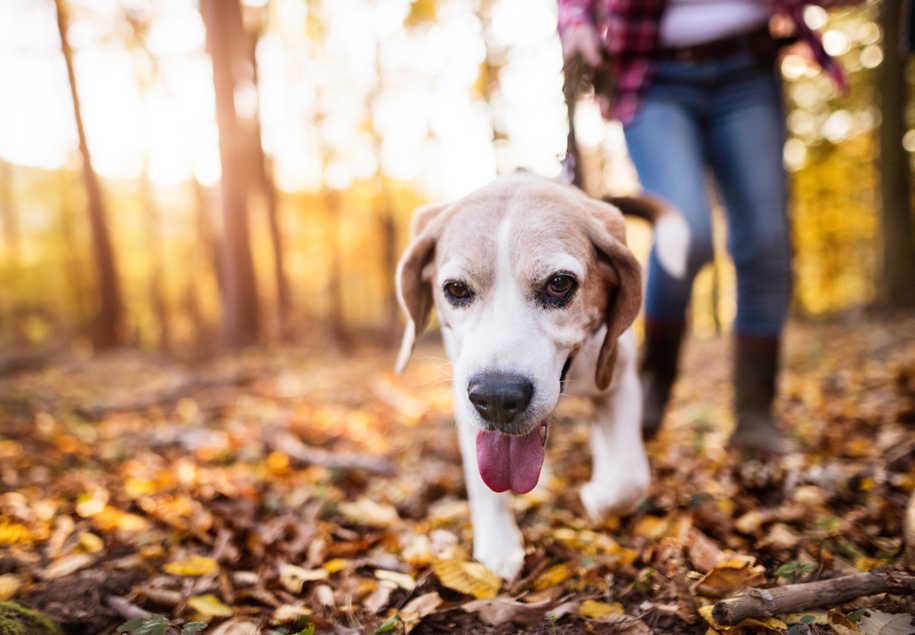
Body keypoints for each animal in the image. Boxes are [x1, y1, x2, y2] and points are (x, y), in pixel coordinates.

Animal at [394, 171, 688, 580]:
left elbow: (629, 479)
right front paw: (499, 546)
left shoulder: (618, 381)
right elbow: (484, 484)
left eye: (559, 284)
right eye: (456, 289)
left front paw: (598, 497)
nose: (497, 397)